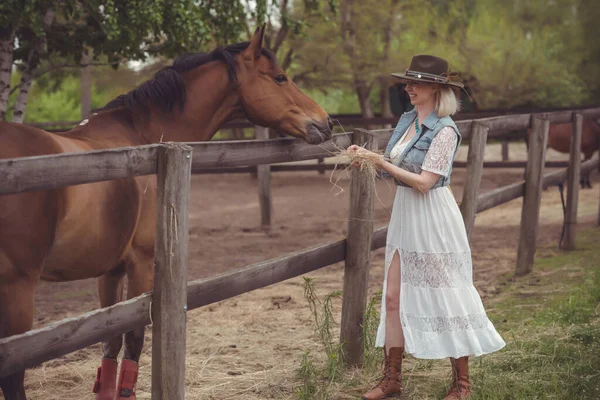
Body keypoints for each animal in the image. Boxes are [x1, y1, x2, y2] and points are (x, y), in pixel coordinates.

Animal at [0, 25, 332, 400]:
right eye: (279, 77)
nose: (326, 122)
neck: (143, 139)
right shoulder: (143, 263)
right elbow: (133, 343)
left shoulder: (110, 271)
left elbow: (110, 346)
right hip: (17, 289)